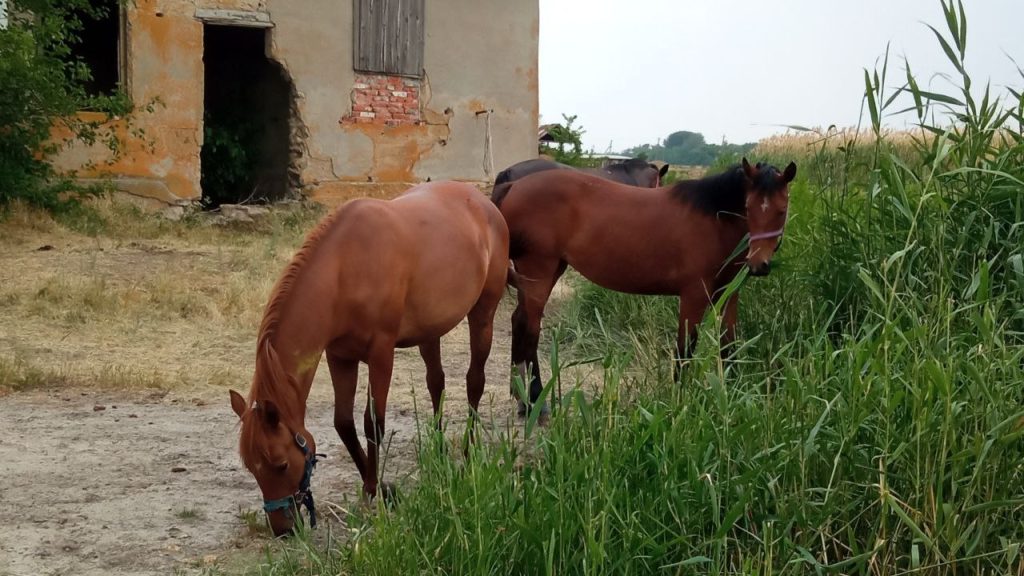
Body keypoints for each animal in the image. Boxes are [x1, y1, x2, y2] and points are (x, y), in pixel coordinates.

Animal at [228, 181, 510, 536]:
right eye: (252, 468)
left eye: (280, 464)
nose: (282, 529)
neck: (344, 269)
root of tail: (485, 205)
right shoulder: (339, 357)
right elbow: (343, 423)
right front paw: (376, 486)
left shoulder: (381, 353)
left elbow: (372, 421)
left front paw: (376, 490)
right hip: (429, 331)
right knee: (436, 383)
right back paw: (438, 449)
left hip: (483, 313)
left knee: (475, 380)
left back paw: (469, 452)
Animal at [492, 158, 796, 412]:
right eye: (748, 207)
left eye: (782, 211)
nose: (759, 265)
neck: (712, 217)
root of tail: (513, 184)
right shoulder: (694, 295)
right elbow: (685, 351)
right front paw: (680, 402)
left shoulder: (728, 295)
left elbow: (729, 347)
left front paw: (732, 395)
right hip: (539, 270)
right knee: (530, 326)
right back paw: (535, 400)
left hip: (550, 270)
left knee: (519, 320)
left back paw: (522, 398)